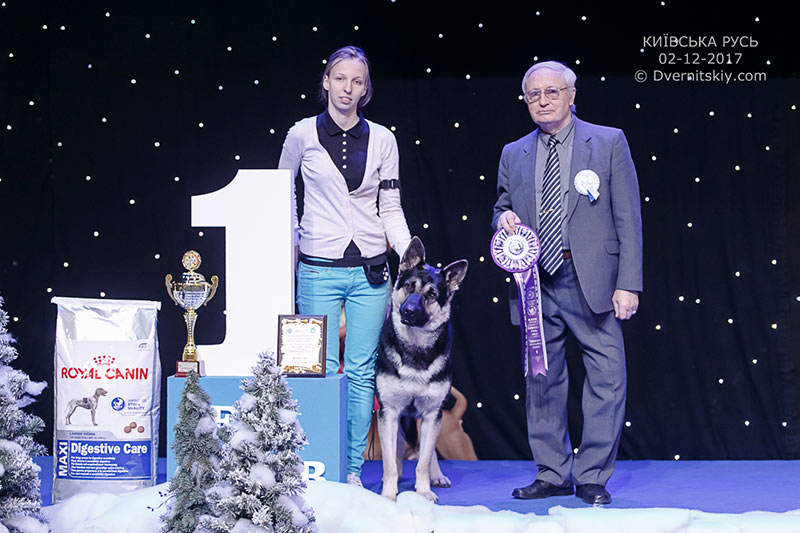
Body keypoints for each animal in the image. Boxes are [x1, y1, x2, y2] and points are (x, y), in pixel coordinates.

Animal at [376, 236, 468, 502]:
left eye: (432, 295)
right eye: (409, 286)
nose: (409, 311)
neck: (415, 349)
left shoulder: (431, 414)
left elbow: (423, 460)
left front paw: (424, 491)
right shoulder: (389, 412)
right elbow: (389, 460)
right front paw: (388, 495)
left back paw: (436, 475)